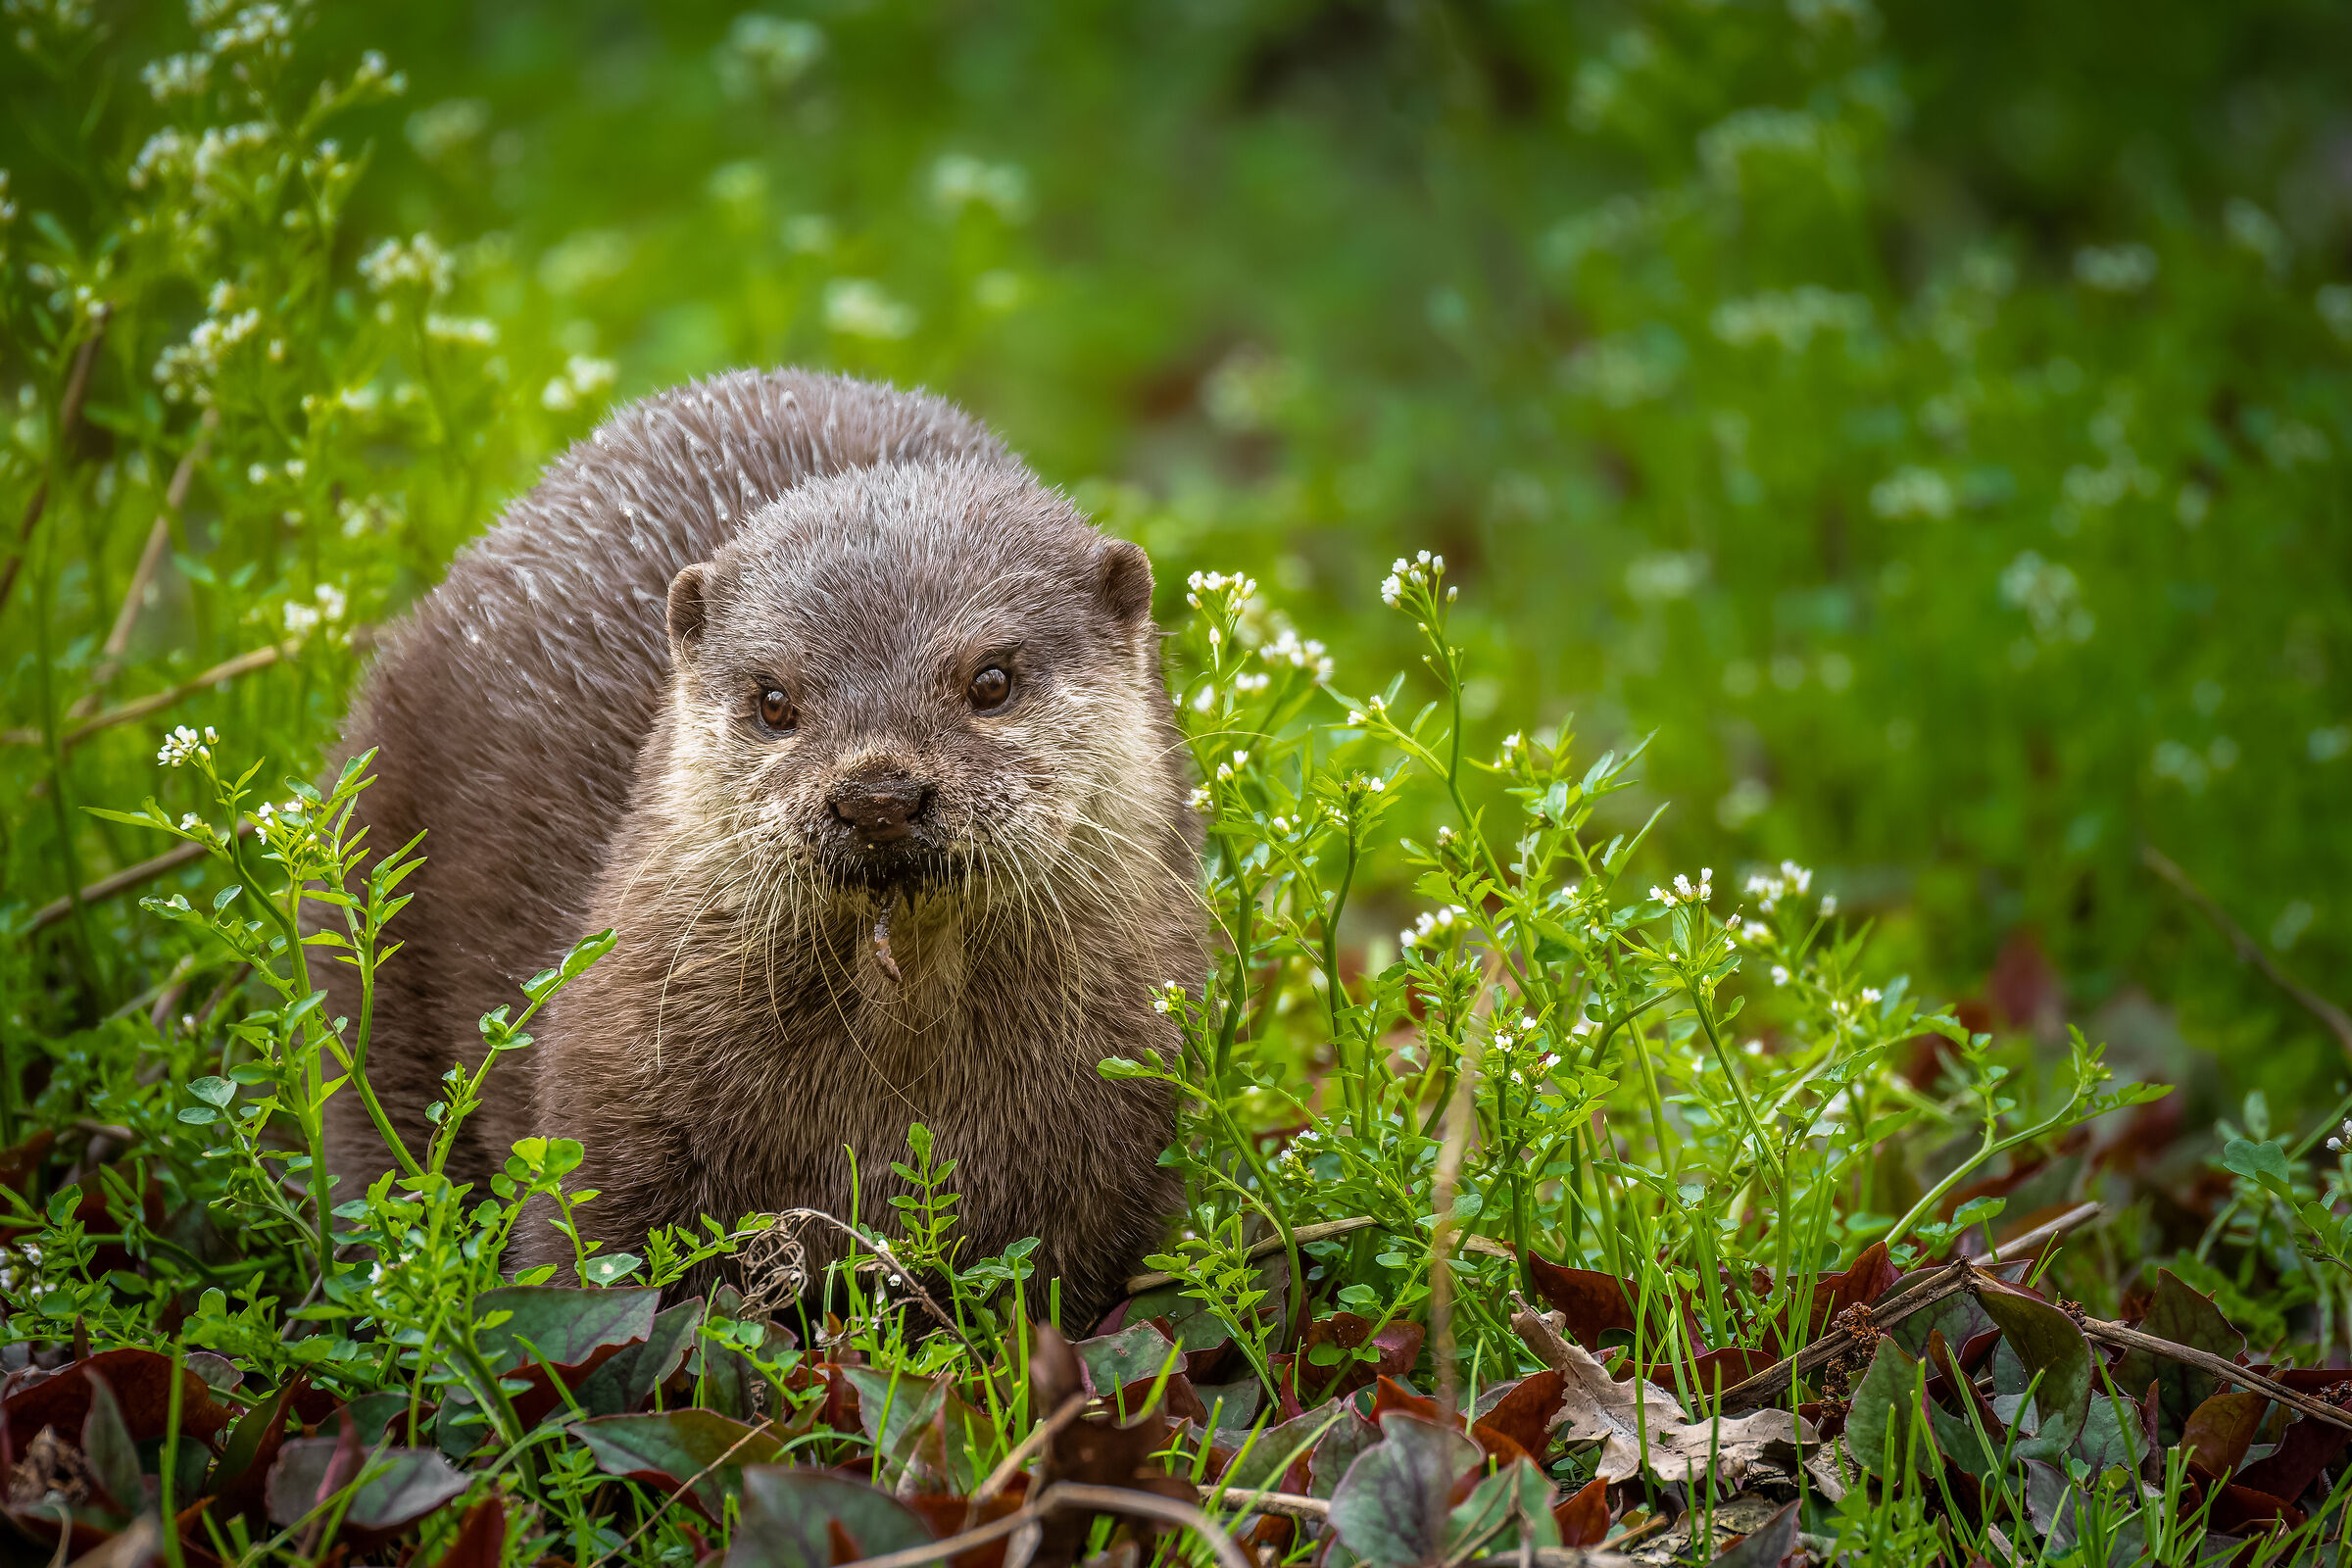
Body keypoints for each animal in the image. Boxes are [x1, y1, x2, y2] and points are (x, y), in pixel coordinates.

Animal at [318, 369, 1201, 1322]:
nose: (878, 795)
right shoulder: (605, 1124)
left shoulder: (1113, 1156)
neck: (888, 1112)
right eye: (775, 699)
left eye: (991, 679)